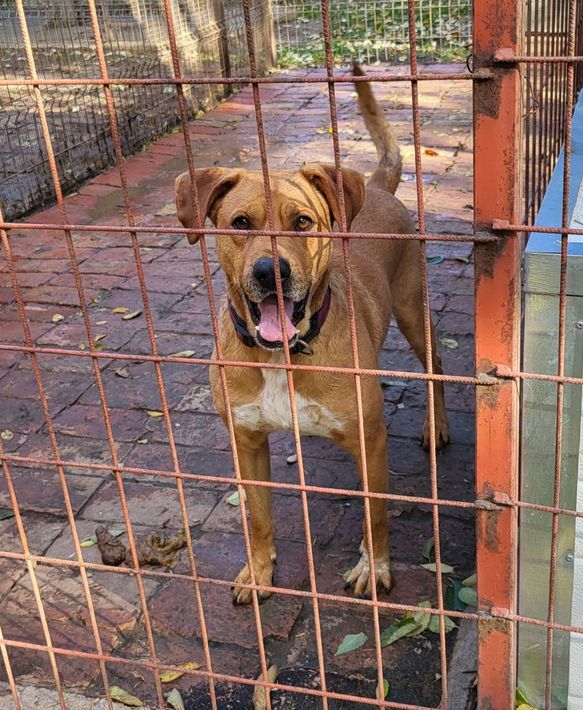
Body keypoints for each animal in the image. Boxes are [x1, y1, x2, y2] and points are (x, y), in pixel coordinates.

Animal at [175, 64, 449, 605]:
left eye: (303, 222)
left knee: (438, 364)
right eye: (240, 223)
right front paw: (259, 572)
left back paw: (438, 426)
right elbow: (258, 518)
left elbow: (376, 515)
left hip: (413, 311)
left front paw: (373, 567)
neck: (283, 354)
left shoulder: (371, 441)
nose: (270, 272)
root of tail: (377, 188)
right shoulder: (246, 442)